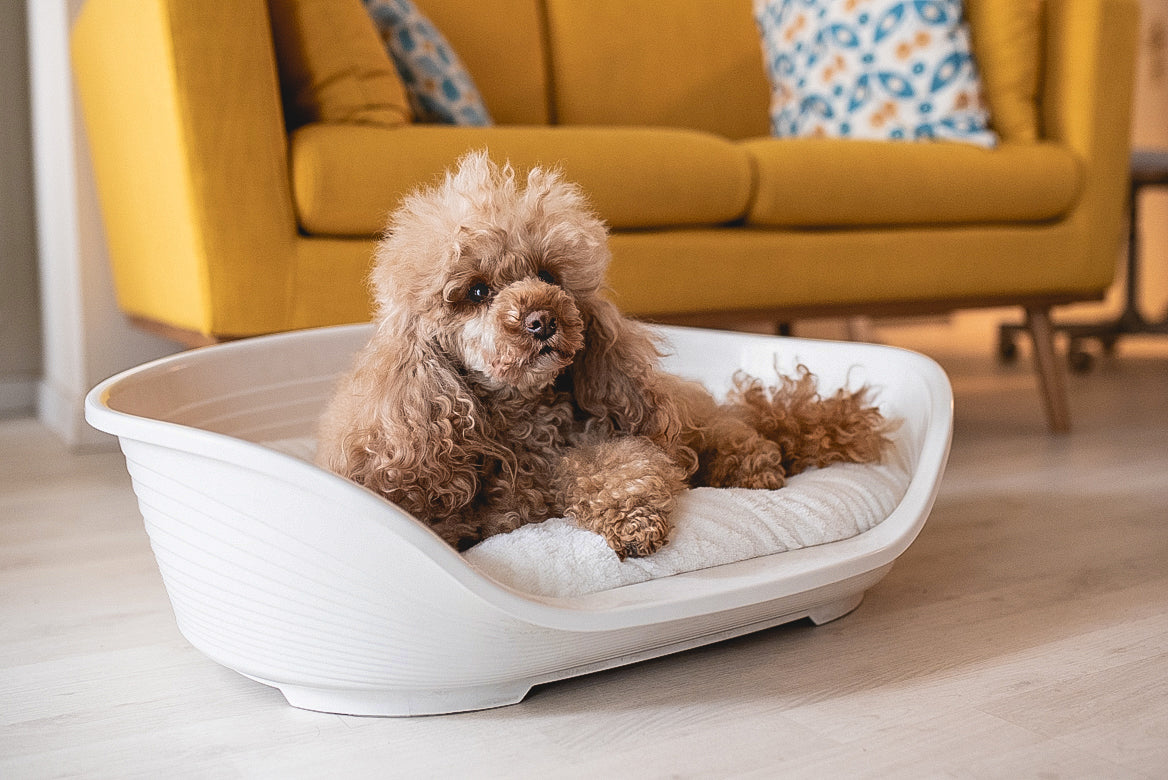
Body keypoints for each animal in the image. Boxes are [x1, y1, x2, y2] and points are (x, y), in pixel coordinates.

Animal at [315, 150, 887, 553]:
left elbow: (619, 466)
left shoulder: (598, 441)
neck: (520, 421)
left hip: (687, 420)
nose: (542, 320)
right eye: (475, 291)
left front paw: (634, 521)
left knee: (733, 432)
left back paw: (754, 467)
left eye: (548, 275)